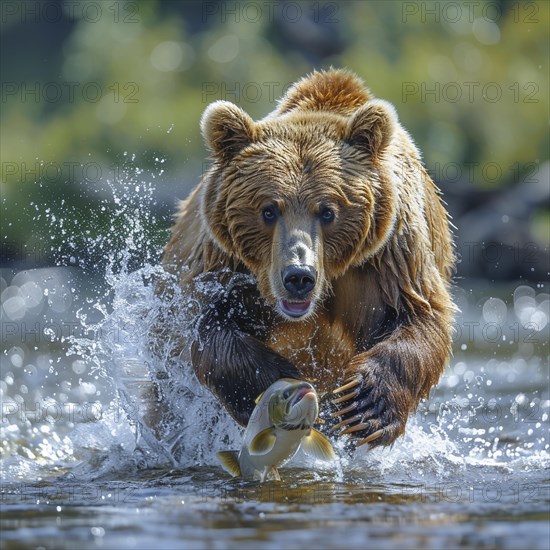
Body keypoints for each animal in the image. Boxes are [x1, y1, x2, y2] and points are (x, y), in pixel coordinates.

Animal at [160, 68, 458, 448]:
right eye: (269, 210)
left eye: (328, 211)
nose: (298, 276)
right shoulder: (225, 263)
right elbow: (205, 323)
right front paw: (275, 381)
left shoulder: (390, 254)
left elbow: (418, 316)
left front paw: (365, 404)